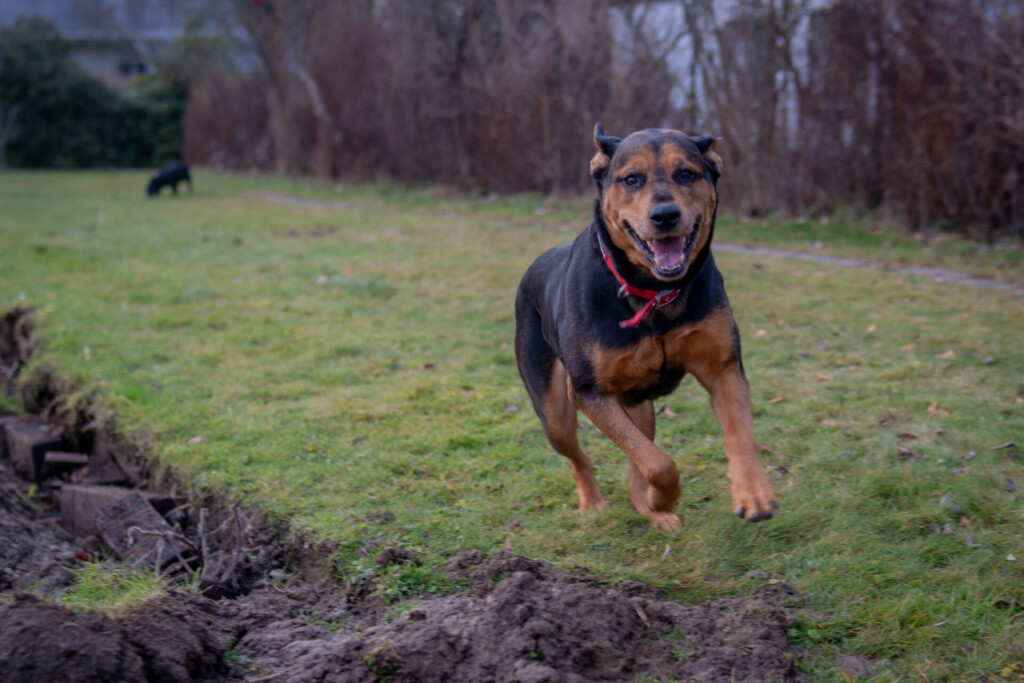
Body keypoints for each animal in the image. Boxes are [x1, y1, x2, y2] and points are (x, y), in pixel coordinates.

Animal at [514, 124, 777, 532]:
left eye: (686, 173)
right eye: (631, 179)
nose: (665, 215)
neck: (653, 291)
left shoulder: (722, 367)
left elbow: (738, 435)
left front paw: (754, 493)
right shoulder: (589, 392)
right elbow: (658, 463)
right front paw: (664, 496)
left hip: (639, 407)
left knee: (635, 463)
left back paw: (653, 511)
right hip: (555, 411)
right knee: (580, 456)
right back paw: (595, 503)